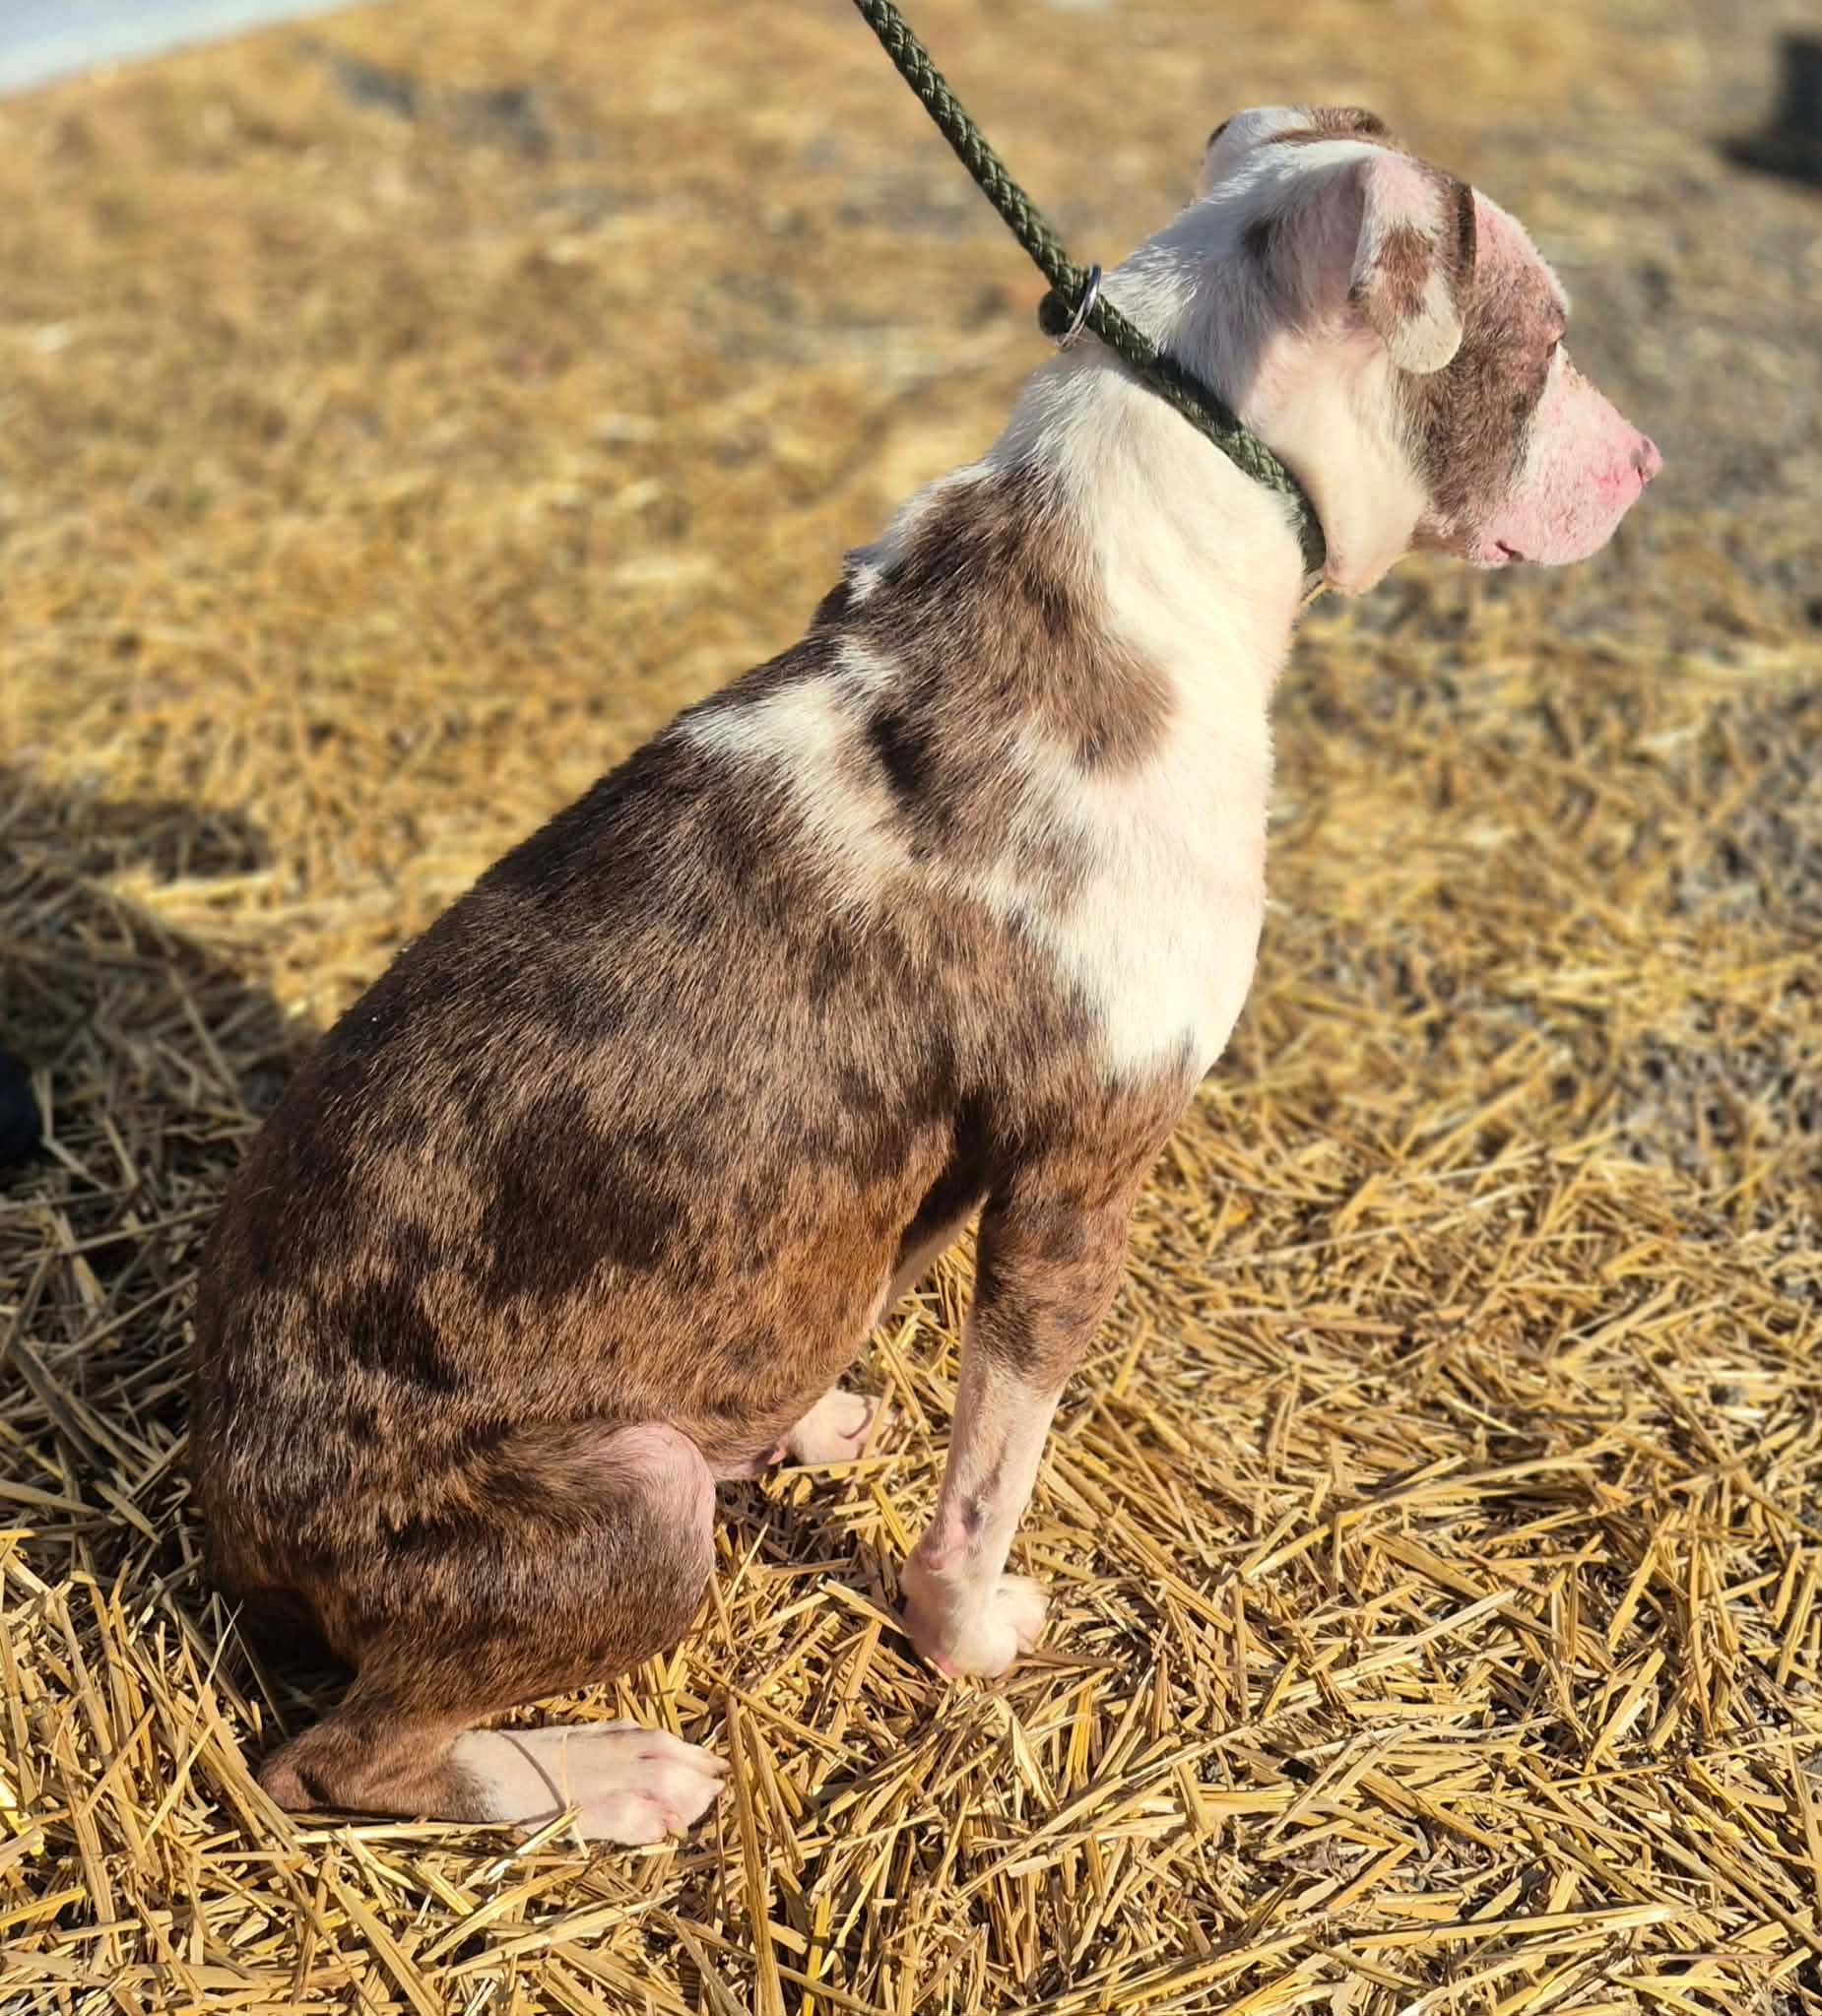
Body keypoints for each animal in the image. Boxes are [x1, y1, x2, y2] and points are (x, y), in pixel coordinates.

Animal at [192, 106, 1658, 1843]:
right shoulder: (1073, 1190)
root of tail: (228, 1507)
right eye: (1547, 343)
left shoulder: (951, 1178)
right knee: (335, 1756)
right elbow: (990, 1474)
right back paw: (605, 1772)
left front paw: (812, 1424)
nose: (1647, 462)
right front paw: (962, 1631)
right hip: (624, 1496)